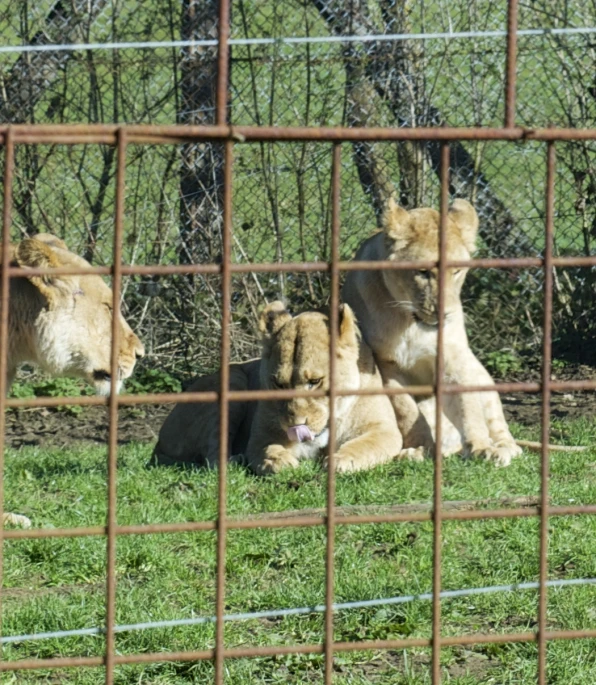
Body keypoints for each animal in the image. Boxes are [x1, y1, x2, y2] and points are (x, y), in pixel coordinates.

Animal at [154, 302, 424, 472]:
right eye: (278, 383)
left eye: (315, 381)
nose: (295, 425)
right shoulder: (261, 435)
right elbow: (266, 448)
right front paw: (278, 461)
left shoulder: (383, 429)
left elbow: (364, 445)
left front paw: (340, 460)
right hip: (233, 380)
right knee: (212, 456)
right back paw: (235, 460)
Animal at [340, 198, 520, 464]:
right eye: (423, 272)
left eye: (456, 271)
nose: (444, 313)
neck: (411, 325)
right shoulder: (386, 364)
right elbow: (406, 409)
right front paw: (418, 447)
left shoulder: (454, 357)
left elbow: (468, 407)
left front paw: (480, 447)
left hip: (481, 376)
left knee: (498, 426)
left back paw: (504, 449)